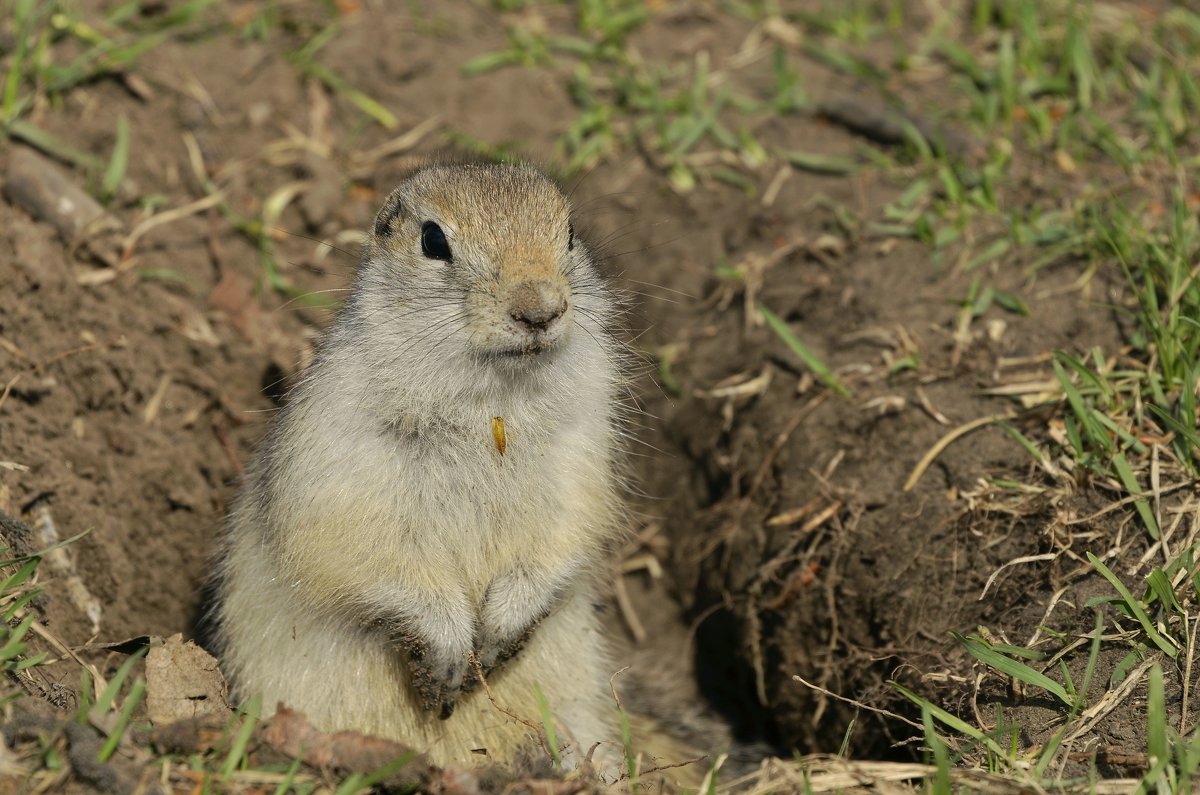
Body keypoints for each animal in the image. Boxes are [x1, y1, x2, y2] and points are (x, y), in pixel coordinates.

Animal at [212, 163, 633, 778]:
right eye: (433, 241)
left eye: (572, 231)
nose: (540, 310)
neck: (490, 408)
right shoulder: (339, 463)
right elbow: (367, 557)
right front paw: (447, 656)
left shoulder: (581, 454)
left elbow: (564, 538)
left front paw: (500, 634)